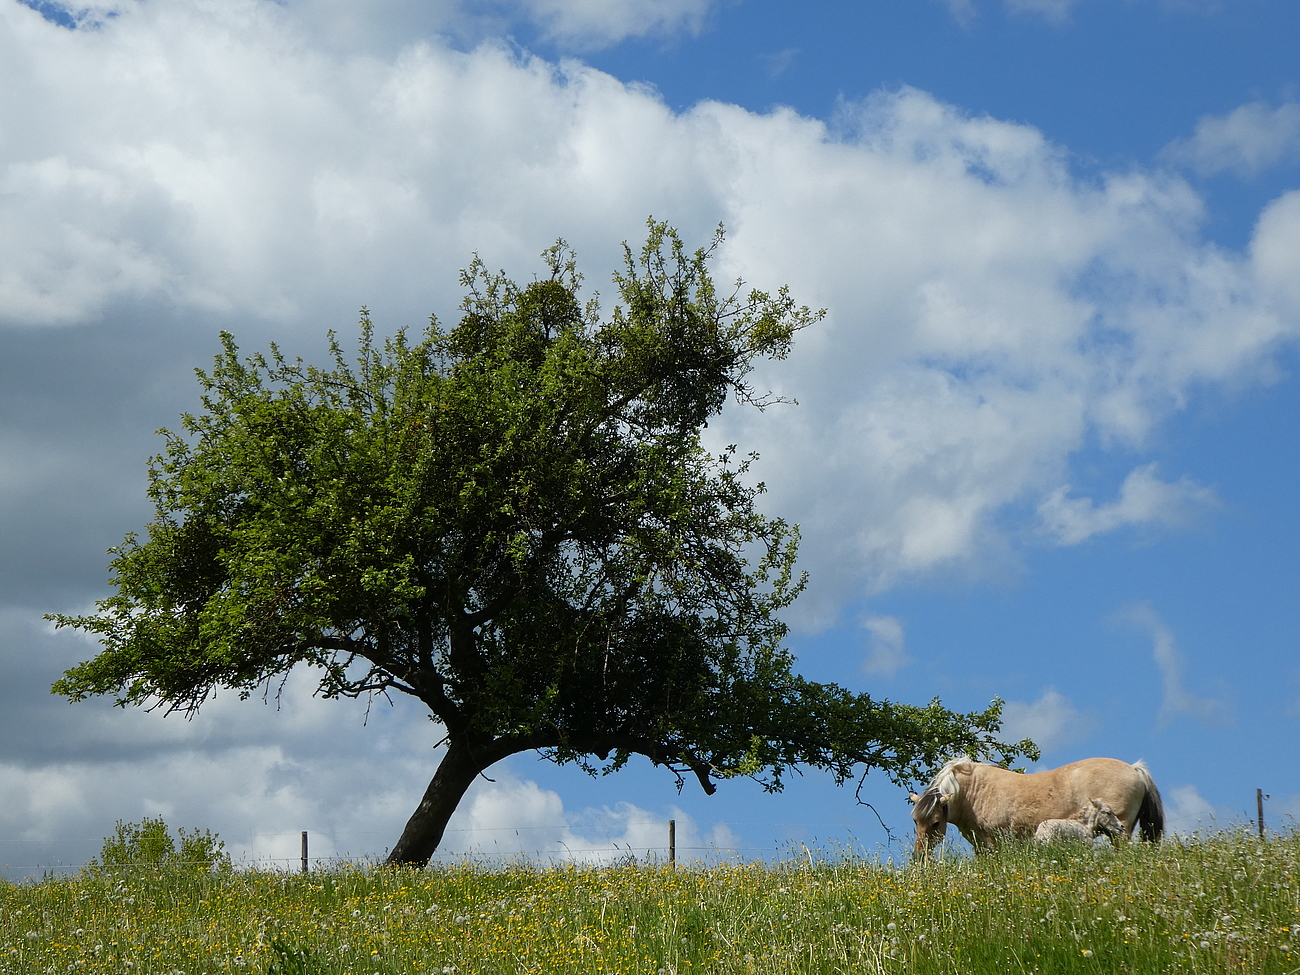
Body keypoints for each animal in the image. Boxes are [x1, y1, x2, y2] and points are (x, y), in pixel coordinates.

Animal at [904, 759, 1170, 857]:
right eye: (915, 821)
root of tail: (1135, 769)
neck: (972, 791)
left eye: (935, 822)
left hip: (1120, 832)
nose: (919, 855)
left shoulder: (992, 840)